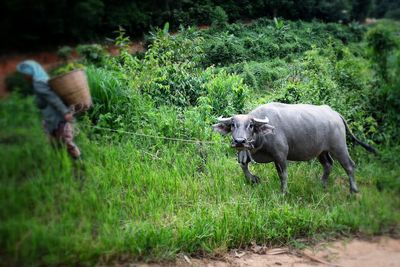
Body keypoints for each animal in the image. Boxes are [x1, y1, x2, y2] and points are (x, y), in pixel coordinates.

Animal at [214, 103, 376, 195]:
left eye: (251, 125)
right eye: (233, 125)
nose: (240, 141)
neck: (263, 136)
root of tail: (335, 114)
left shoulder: (281, 155)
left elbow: (283, 174)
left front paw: (284, 192)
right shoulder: (253, 152)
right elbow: (243, 165)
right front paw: (254, 179)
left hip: (339, 147)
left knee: (349, 165)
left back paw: (353, 190)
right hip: (322, 151)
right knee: (328, 164)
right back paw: (322, 185)